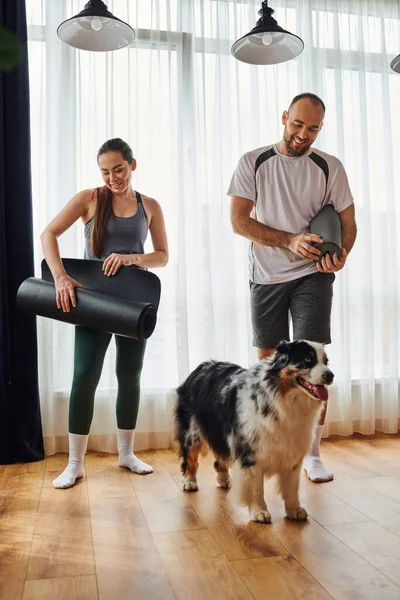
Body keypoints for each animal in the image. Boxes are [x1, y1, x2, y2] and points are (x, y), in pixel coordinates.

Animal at [173, 340, 332, 524]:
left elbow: (292, 486)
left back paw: (225, 479)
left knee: (221, 457)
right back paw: (189, 482)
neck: (283, 399)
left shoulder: (292, 450)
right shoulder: (252, 451)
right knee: (190, 457)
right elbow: (256, 487)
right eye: (306, 360)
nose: (330, 375)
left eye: (326, 361)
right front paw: (259, 512)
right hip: (193, 431)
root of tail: (201, 366)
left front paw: (295, 509)